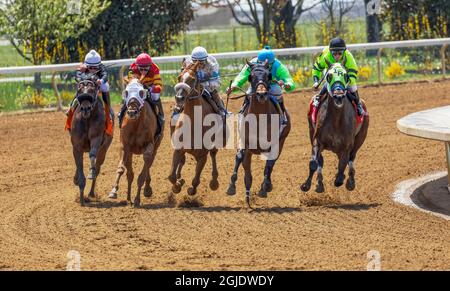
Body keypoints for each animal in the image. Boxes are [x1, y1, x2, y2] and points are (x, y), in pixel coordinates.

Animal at [70, 78, 113, 206]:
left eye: (92, 90)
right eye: (79, 90)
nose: (85, 108)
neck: (87, 120)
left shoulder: (96, 138)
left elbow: (92, 155)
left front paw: (90, 173)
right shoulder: (76, 146)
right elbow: (78, 164)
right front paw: (81, 198)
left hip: (104, 149)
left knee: (97, 167)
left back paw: (91, 193)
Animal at [108, 78, 162, 208]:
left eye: (141, 92)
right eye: (126, 92)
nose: (132, 112)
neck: (136, 124)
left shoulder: (149, 147)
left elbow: (142, 174)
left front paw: (137, 200)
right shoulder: (125, 146)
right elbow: (121, 169)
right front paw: (113, 191)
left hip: (156, 147)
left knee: (148, 166)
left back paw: (146, 190)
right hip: (131, 152)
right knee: (130, 174)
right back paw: (128, 198)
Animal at [169, 61, 225, 196]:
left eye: (192, 79)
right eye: (179, 77)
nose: (179, 98)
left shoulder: (202, 155)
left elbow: (195, 179)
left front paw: (191, 189)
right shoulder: (178, 149)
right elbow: (171, 176)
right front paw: (177, 186)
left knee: (213, 154)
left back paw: (214, 181)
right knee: (182, 161)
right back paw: (180, 178)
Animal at [227, 61, 290, 208]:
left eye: (269, 75)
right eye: (251, 76)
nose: (261, 94)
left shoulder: (274, 144)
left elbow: (269, 165)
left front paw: (265, 187)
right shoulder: (245, 143)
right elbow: (241, 159)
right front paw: (233, 187)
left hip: (282, 141)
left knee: (271, 163)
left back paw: (265, 186)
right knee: (245, 167)